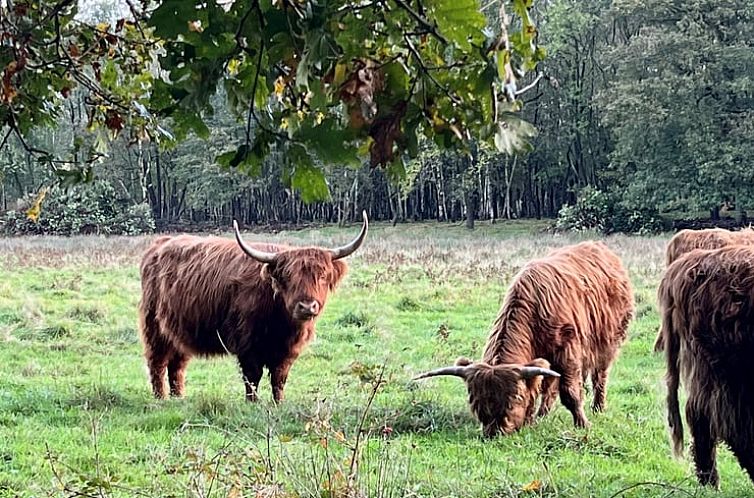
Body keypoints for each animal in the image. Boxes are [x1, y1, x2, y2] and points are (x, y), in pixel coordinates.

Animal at [139, 212, 370, 402]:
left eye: (322, 276)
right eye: (287, 277)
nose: (306, 306)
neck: (281, 322)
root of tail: (159, 245)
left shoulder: (288, 351)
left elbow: (279, 378)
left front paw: (278, 403)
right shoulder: (247, 344)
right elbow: (253, 377)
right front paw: (253, 403)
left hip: (178, 329)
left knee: (177, 364)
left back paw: (179, 397)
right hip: (155, 326)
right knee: (157, 362)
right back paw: (161, 399)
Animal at [414, 241, 632, 436]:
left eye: (514, 401)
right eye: (476, 403)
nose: (495, 433)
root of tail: (600, 247)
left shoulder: (568, 350)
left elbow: (569, 392)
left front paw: (582, 424)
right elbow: (540, 386)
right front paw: (532, 420)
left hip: (608, 341)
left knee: (600, 375)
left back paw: (598, 408)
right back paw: (542, 415)